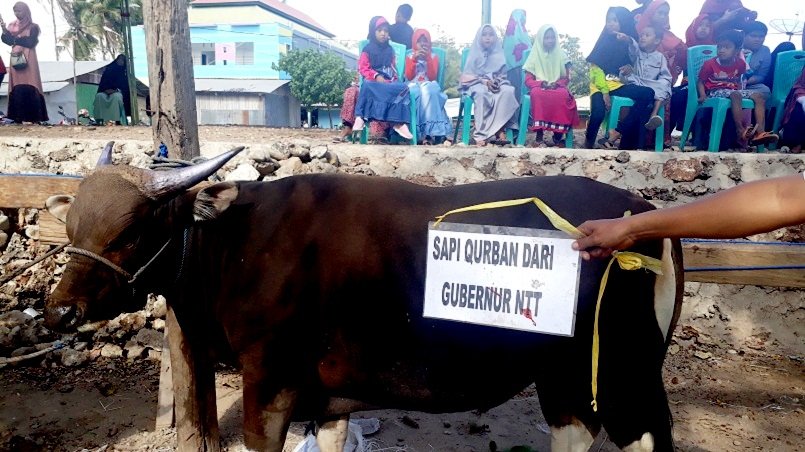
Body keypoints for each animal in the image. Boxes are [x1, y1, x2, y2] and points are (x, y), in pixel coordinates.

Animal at [44, 144, 680, 452]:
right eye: (72, 227)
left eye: (130, 232)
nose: (60, 310)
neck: (231, 245)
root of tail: (643, 212)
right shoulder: (328, 400)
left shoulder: (268, 381)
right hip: (565, 380)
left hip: (623, 379)